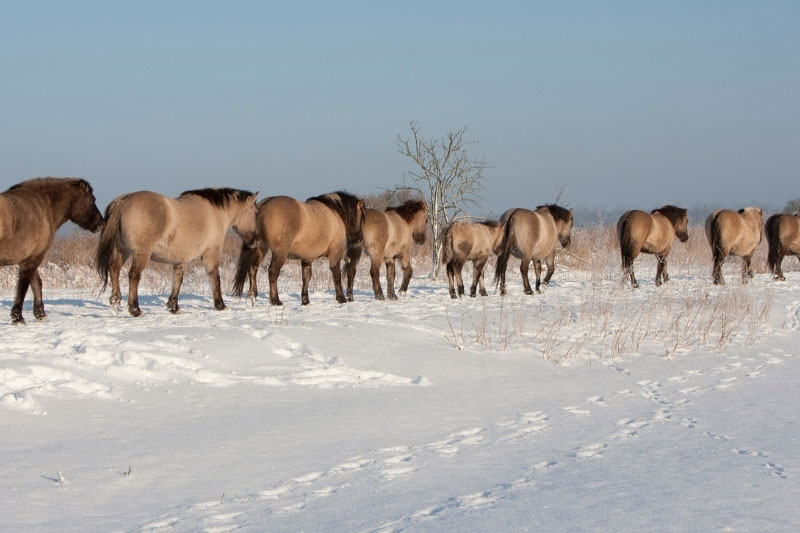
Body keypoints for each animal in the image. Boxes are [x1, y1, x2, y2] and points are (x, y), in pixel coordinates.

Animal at [0, 177, 103, 324]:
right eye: (92, 199)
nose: (101, 223)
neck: (43, 206)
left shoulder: (31, 258)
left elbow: (37, 284)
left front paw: (40, 314)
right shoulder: (31, 260)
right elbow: (23, 287)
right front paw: (18, 318)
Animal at [96, 188, 259, 317]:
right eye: (256, 213)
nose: (256, 242)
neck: (214, 213)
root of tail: (122, 202)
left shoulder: (181, 259)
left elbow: (177, 281)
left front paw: (173, 306)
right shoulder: (211, 253)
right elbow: (215, 277)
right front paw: (220, 305)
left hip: (122, 250)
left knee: (114, 269)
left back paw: (115, 303)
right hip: (141, 254)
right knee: (133, 276)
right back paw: (135, 309)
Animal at [233, 191, 365, 306]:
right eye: (361, 218)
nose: (359, 241)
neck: (335, 214)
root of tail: (264, 206)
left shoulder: (307, 258)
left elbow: (306, 277)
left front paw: (305, 300)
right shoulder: (335, 254)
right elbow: (336, 275)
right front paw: (341, 298)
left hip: (261, 247)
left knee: (253, 268)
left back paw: (252, 295)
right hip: (279, 252)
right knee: (272, 271)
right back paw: (275, 300)